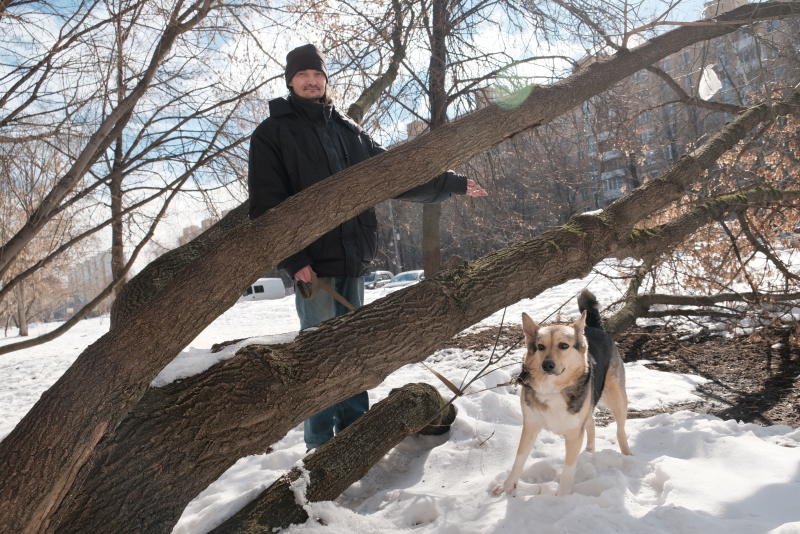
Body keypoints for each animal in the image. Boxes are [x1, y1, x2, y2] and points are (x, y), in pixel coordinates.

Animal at [494, 288, 632, 498]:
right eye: (540, 347)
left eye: (564, 346)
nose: (547, 365)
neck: (552, 389)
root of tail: (594, 327)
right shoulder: (531, 425)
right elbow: (519, 459)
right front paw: (508, 486)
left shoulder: (574, 433)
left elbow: (568, 470)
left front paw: (561, 499)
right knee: (591, 424)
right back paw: (589, 451)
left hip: (616, 398)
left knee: (620, 430)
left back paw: (628, 457)